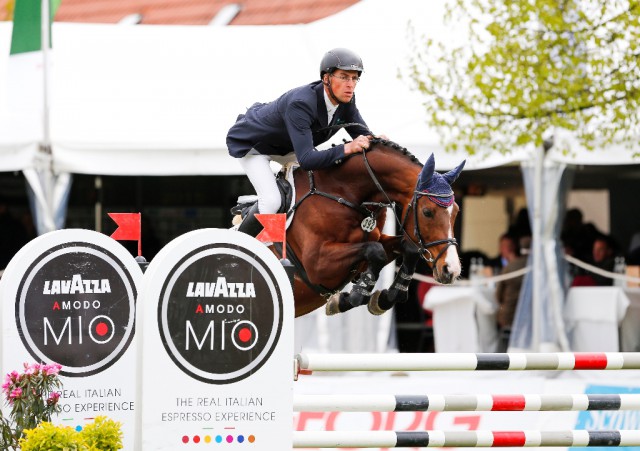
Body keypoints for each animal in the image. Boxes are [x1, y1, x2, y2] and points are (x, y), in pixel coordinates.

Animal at [238, 139, 462, 320]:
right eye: (427, 212)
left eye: (457, 212)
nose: (451, 270)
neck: (343, 193)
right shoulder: (317, 264)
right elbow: (375, 251)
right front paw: (354, 295)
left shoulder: (377, 240)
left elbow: (408, 248)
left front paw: (385, 298)